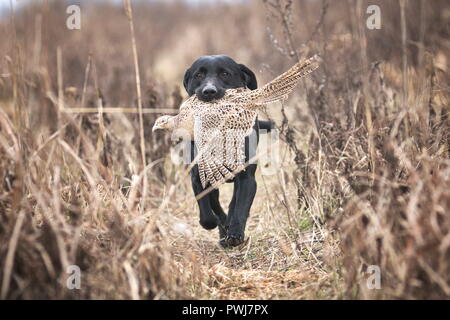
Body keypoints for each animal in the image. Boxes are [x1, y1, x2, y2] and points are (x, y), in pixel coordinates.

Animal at [182, 54, 272, 248]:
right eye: (198, 75)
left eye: (225, 73)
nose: (209, 91)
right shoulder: (198, 178)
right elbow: (208, 213)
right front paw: (219, 226)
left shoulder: (247, 179)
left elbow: (240, 208)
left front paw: (235, 233)